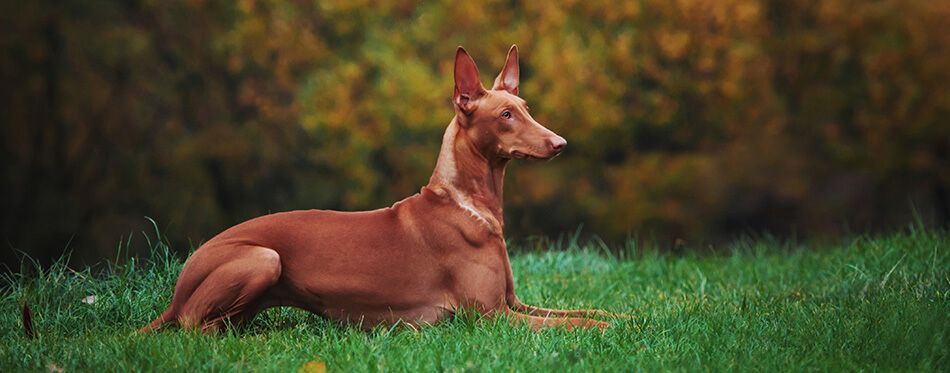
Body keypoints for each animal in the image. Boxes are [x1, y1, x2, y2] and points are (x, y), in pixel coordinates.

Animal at [144, 45, 612, 332]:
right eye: (505, 116)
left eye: (526, 109)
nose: (560, 143)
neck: (468, 205)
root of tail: (179, 286)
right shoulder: (489, 316)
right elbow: (578, 322)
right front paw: (609, 329)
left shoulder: (513, 304)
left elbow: (591, 308)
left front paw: (625, 316)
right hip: (263, 257)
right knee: (197, 329)